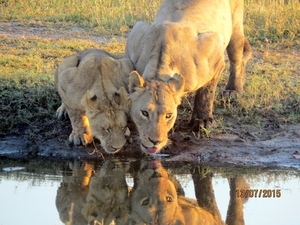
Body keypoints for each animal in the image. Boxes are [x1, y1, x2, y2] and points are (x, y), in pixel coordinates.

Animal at [124, 0, 251, 154]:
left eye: (169, 115)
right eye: (144, 113)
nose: (155, 141)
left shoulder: (216, 51)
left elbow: (206, 92)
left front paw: (203, 121)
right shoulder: (136, 35)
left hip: (235, 24)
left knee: (237, 57)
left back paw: (233, 91)